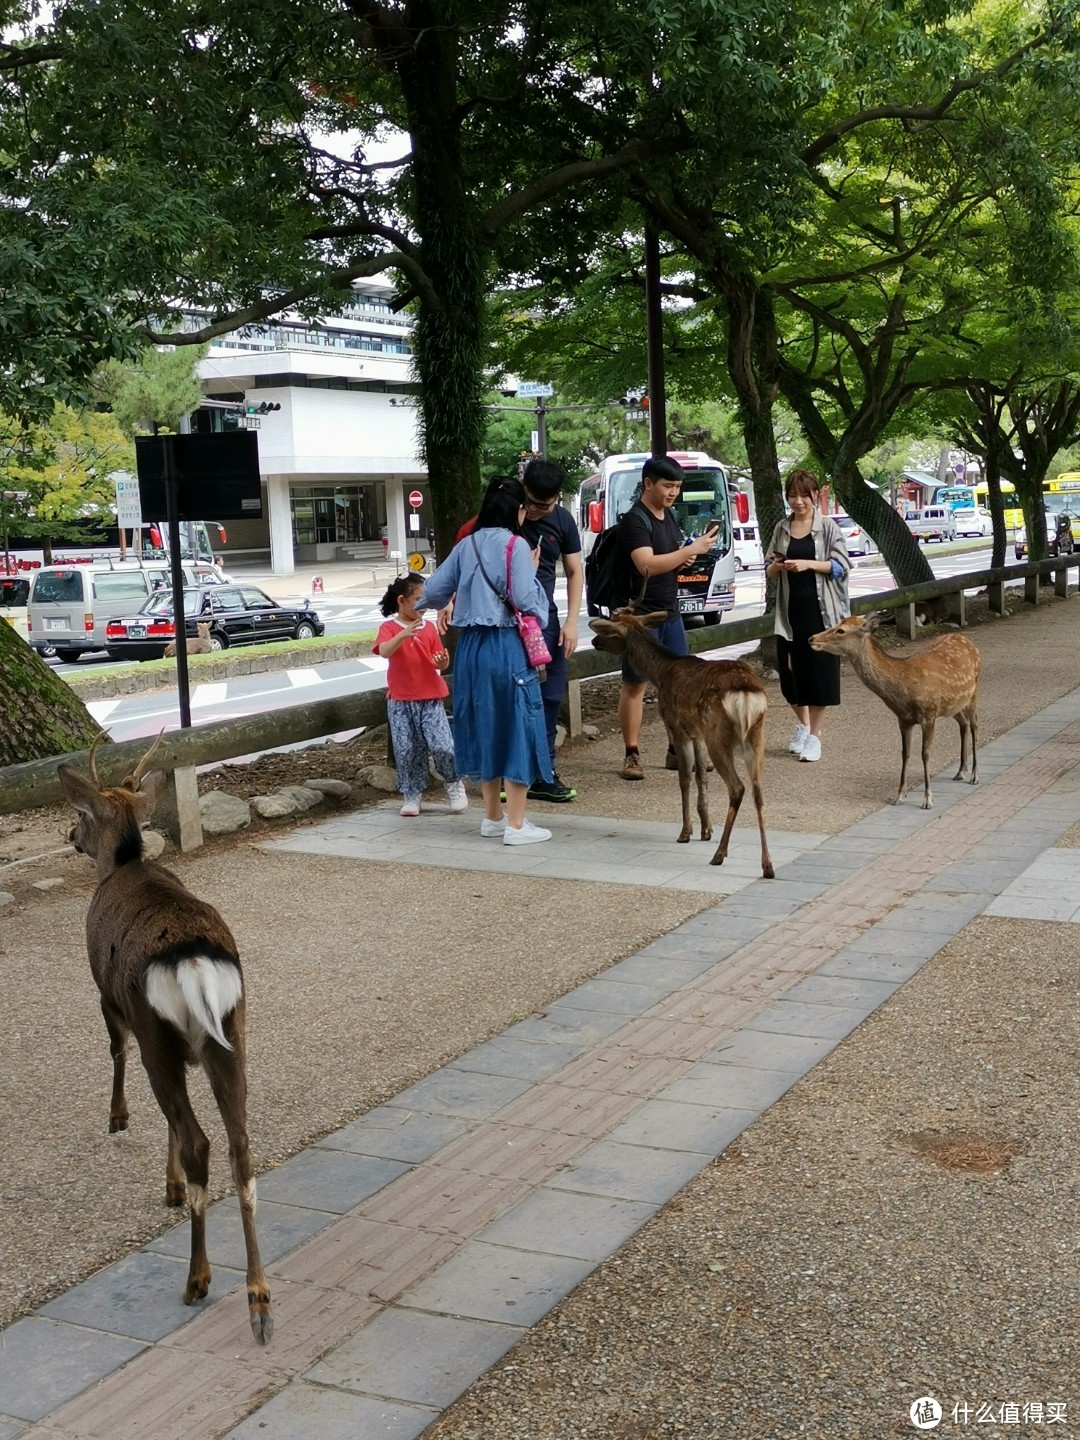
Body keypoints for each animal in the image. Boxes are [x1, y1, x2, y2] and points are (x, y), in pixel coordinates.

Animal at [58, 737, 275, 1342]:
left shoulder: (106, 997)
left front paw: (119, 1119)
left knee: (199, 1138)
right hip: (233, 1029)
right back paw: (259, 1298)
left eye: (84, 813)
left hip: (158, 1033)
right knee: (240, 1146)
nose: (69, 834)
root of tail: (194, 962)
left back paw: (198, 1279)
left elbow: (115, 1051)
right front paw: (170, 1182)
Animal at [587, 607, 771, 875]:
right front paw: (706, 829)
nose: (593, 641)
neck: (660, 673)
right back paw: (767, 865)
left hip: (719, 734)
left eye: (609, 628)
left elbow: (684, 777)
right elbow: (701, 776)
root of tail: (746, 692)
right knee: (758, 790)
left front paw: (686, 832)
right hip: (755, 735)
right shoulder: (698, 733)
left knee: (737, 788)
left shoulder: (676, 726)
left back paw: (719, 854)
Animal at [812, 610, 979, 812]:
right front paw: (899, 796)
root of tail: (968, 640)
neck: (903, 689)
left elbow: (925, 754)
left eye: (841, 630)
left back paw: (974, 775)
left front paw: (928, 799)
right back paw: (960, 771)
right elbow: (904, 754)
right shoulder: (903, 719)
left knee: (974, 724)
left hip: (973, 692)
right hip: (953, 704)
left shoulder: (929, 714)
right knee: (963, 722)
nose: (811, 638)